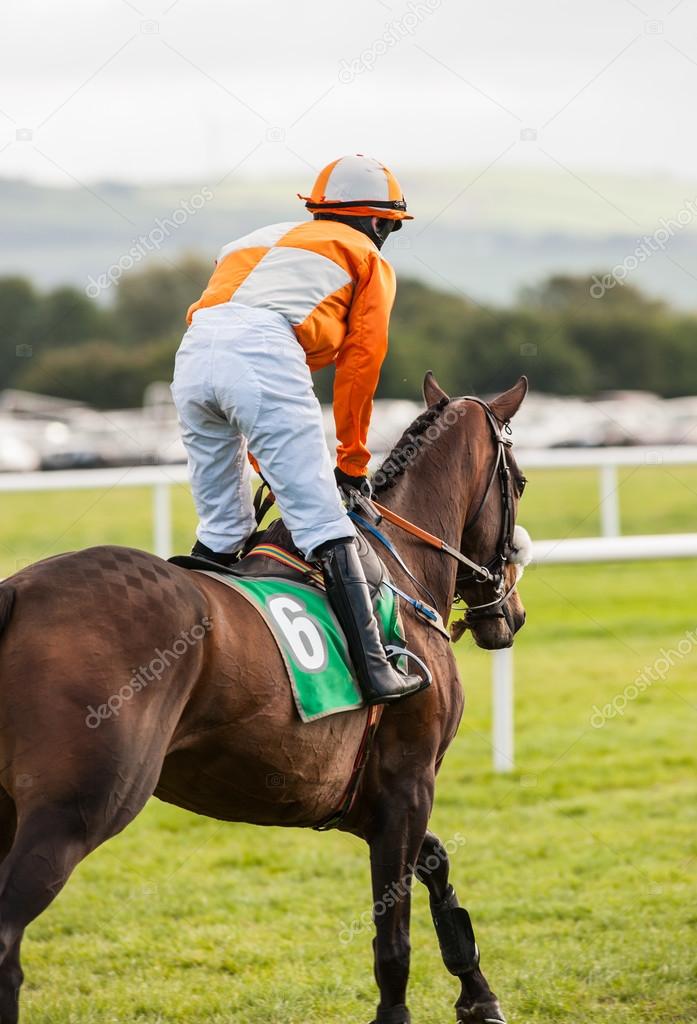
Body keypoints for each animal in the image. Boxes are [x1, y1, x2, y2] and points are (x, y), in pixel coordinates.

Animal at [0, 376, 528, 1024]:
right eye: (520, 483)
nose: (510, 613)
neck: (397, 570)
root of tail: (17, 593)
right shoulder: (409, 781)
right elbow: (394, 935)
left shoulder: (356, 797)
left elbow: (436, 864)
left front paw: (479, 994)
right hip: (75, 808)